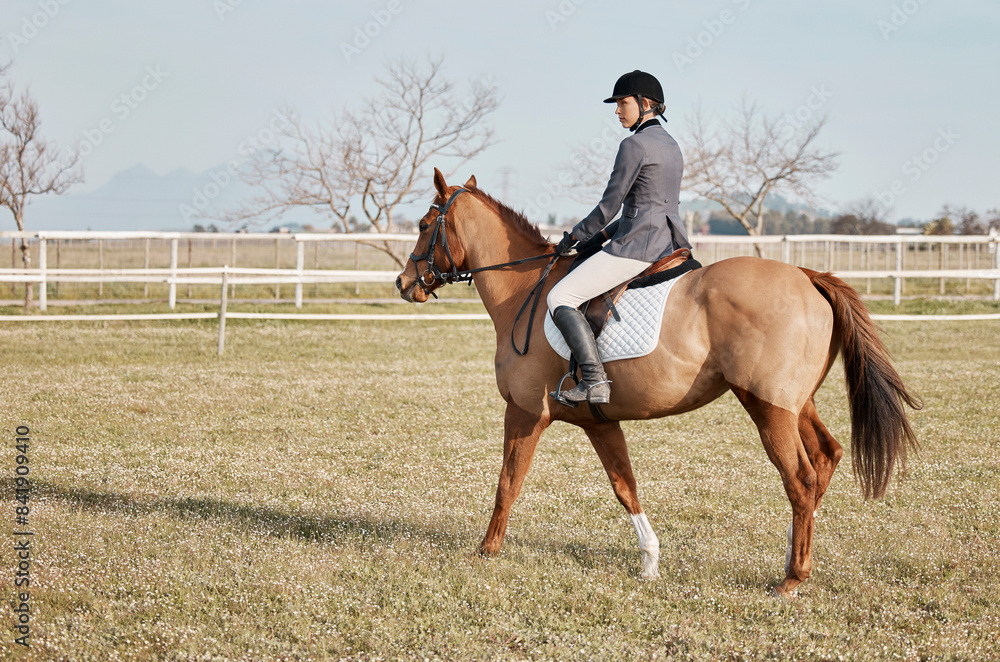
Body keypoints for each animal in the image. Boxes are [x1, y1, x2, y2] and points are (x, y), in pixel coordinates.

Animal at [392, 169, 920, 600]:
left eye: (422, 225)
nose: (403, 283)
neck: (527, 291)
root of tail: (808, 277)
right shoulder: (599, 422)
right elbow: (624, 486)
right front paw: (649, 561)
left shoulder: (524, 414)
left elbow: (508, 482)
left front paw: (487, 550)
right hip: (793, 403)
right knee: (826, 459)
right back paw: (795, 558)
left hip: (767, 407)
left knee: (801, 478)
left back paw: (792, 579)